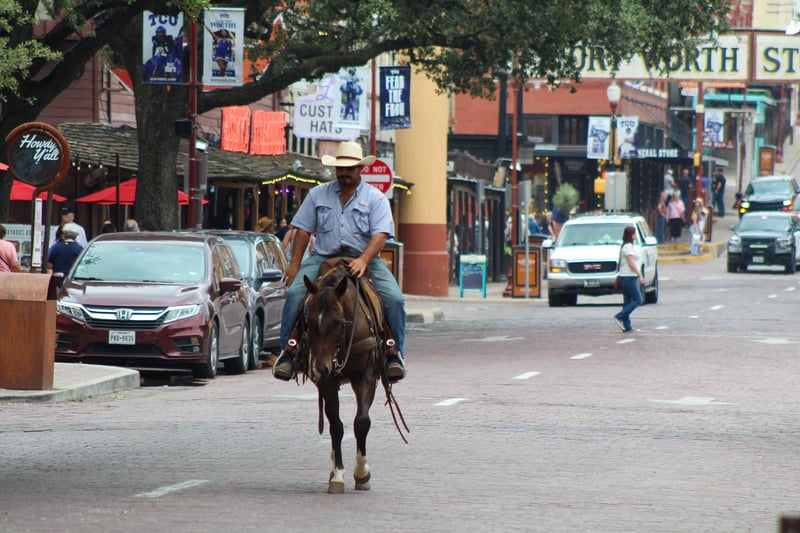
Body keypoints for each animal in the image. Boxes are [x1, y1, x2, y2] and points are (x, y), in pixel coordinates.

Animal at [295, 257, 406, 493]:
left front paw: (362, 474)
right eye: (308, 320)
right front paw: (338, 474)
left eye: (338, 321)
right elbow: (336, 426)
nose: (320, 368)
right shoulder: (328, 383)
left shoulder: (366, 377)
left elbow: (361, 422)